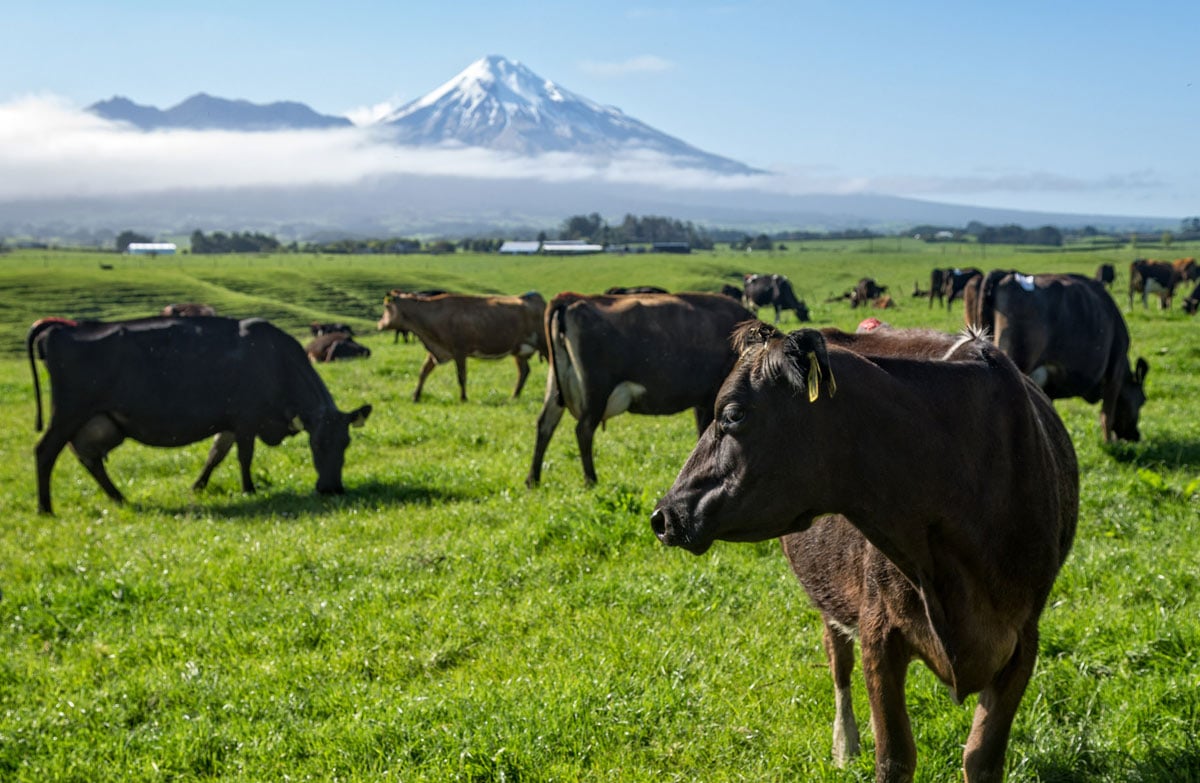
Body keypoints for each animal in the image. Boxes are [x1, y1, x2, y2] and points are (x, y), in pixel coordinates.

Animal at [29, 314, 374, 516]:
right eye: (315, 444)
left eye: (346, 444)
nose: (331, 488)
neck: (276, 359)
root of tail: (61, 328)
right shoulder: (246, 419)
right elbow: (244, 457)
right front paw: (249, 489)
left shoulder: (230, 423)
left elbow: (215, 454)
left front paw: (198, 486)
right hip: (69, 413)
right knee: (45, 451)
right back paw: (45, 507)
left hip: (95, 421)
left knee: (89, 459)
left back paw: (119, 498)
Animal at [376, 291, 547, 403]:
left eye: (385, 307)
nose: (379, 324)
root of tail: (535, 298)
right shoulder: (437, 350)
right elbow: (423, 372)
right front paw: (416, 396)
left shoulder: (459, 351)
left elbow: (461, 376)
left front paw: (463, 398)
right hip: (519, 350)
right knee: (524, 371)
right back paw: (514, 396)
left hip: (545, 345)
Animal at [525, 293, 748, 489]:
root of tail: (571, 299)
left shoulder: (702, 401)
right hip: (596, 390)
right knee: (583, 430)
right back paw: (590, 480)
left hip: (556, 384)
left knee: (545, 424)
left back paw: (532, 480)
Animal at [652, 321, 1084, 783]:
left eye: (732, 414)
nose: (664, 515)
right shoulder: (879, 632)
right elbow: (894, 756)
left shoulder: (1023, 640)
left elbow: (981, 758)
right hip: (829, 599)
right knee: (837, 660)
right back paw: (845, 743)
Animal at [979, 270, 1147, 439]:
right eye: (1142, 401)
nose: (1136, 435)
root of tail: (1008, 275)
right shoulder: (1115, 372)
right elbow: (1107, 415)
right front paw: (1110, 443)